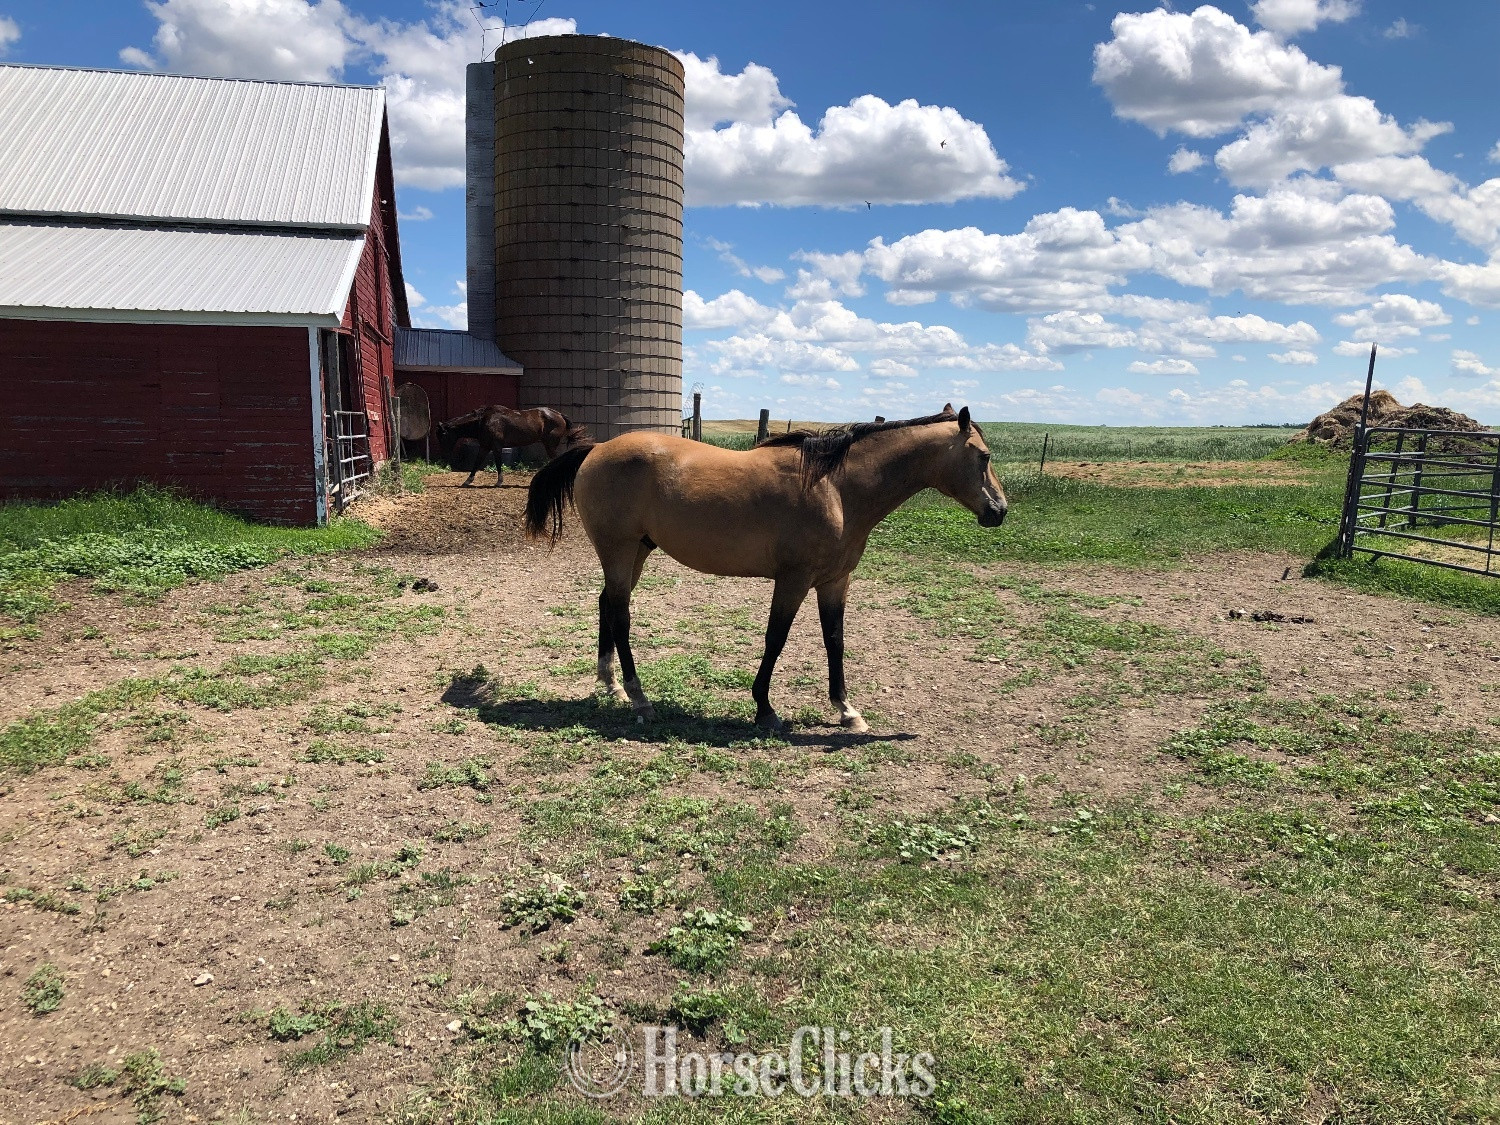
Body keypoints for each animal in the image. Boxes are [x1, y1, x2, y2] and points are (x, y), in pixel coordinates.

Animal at [435, 405, 587, 487]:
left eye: (442, 436)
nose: (443, 455)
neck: (483, 420)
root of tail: (558, 414)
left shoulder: (496, 447)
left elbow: (498, 463)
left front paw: (499, 482)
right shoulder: (484, 447)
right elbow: (476, 463)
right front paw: (468, 480)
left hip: (550, 445)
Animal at [524, 405, 1007, 733]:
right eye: (983, 456)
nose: (999, 511)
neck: (836, 488)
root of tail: (597, 449)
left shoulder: (835, 582)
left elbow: (835, 641)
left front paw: (846, 710)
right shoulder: (793, 581)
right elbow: (776, 639)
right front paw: (765, 709)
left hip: (636, 552)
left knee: (607, 603)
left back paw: (611, 684)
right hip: (620, 551)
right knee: (621, 615)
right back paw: (639, 698)